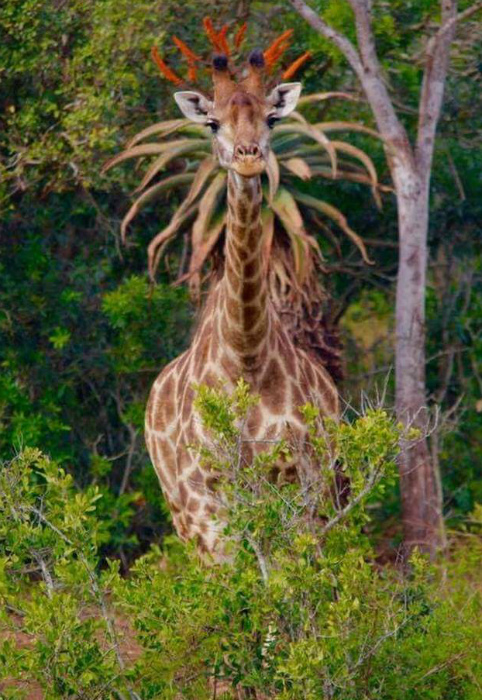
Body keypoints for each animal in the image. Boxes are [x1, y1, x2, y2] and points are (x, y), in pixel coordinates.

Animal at [144, 49, 338, 556]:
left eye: (271, 118)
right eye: (213, 123)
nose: (249, 158)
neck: (246, 353)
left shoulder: (300, 486)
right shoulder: (207, 504)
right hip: (183, 516)